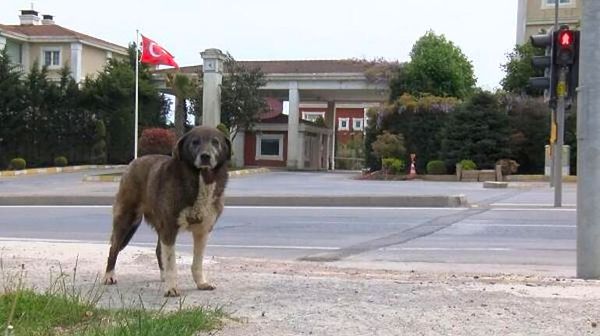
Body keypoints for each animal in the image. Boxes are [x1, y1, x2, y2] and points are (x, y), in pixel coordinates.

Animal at [103, 126, 230, 296]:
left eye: (215, 142)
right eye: (195, 142)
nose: (205, 156)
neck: (201, 179)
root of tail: (133, 162)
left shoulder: (202, 231)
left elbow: (197, 262)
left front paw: (201, 283)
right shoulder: (169, 228)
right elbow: (171, 263)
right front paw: (171, 288)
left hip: (157, 224)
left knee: (158, 250)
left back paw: (163, 277)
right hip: (127, 220)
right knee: (113, 248)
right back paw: (109, 276)